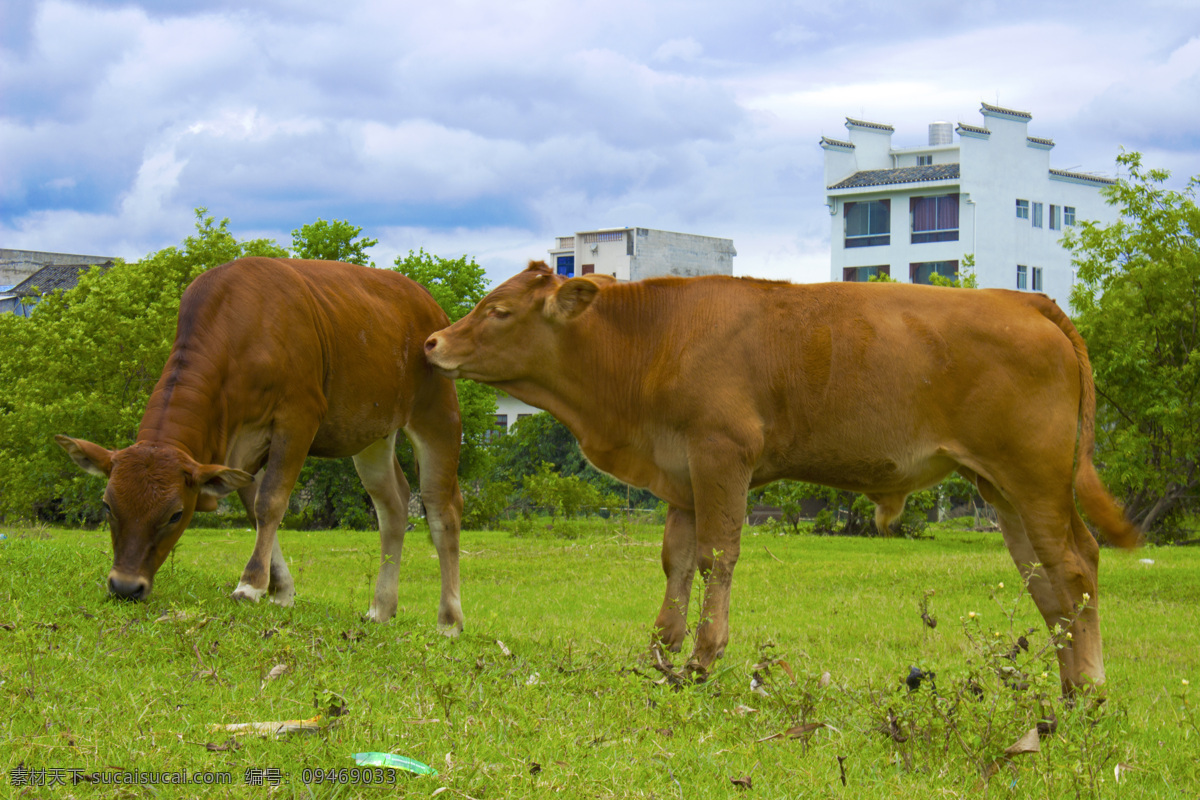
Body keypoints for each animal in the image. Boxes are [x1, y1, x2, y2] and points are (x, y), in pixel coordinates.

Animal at [58, 256, 465, 633]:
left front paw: (251, 584)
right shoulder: (240, 451)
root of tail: (427, 301)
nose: (125, 586)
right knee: (392, 505)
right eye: (108, 506)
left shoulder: (298, 417)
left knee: (441, 509)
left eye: (175, 514)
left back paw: (449, 619)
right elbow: (254, 510)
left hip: (438, 413)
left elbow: (270, 501)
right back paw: (381, 607)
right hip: (373, 432)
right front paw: (281, 589)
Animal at [427, 262, 1137, 695]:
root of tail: (1024, 298)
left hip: (1036, 479)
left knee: (1074, 567)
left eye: (499, 310)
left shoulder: (722, 456)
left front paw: (705, 656)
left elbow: (718, 555)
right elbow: (677, 560)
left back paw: (1091, 687)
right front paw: (663, 653)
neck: (654, 339)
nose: (432, 342)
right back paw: (1069, 686)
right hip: (1003, 489)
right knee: (1045, 578)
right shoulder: (682, 472)